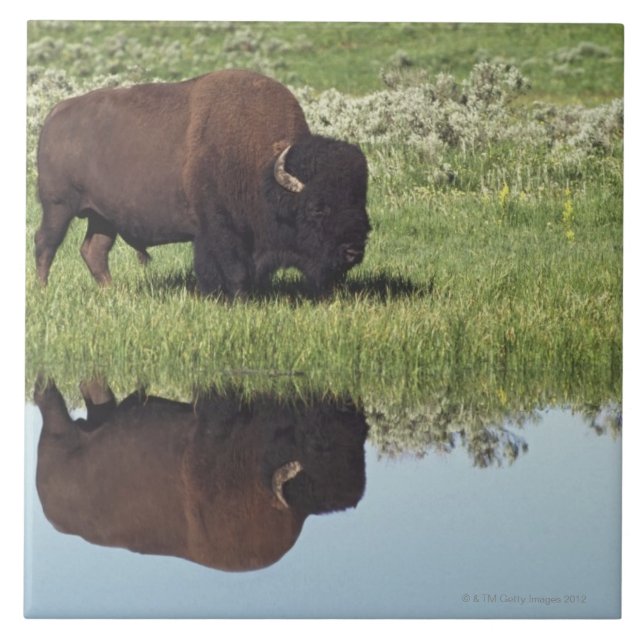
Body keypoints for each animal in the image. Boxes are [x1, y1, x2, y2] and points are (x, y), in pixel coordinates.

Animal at [34, 378, 368, 572]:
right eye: (315, 441)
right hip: (59, 428)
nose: (349, 406)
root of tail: (49, 509)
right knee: (46, 397)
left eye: (361, 437)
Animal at [35, 70, 371, 296]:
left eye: (360, 200)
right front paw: (236, 299)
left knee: (94, 251)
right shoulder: (218, 229)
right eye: (317, 208)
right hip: (58, 207)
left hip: (103, 217)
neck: (261, 166)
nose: (354, 250)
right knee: (45, 244)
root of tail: (55, 114)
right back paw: (42, 290)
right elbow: (233, 271)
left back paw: (112, 292)